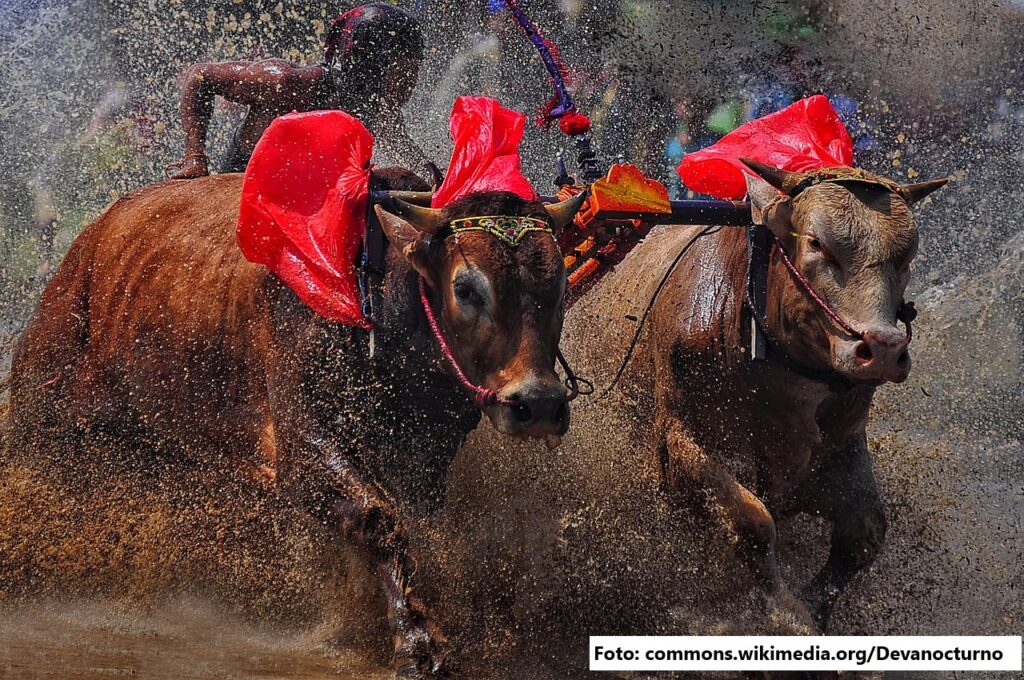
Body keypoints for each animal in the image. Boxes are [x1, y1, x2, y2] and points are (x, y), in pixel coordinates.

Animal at [6, 170, 585, 680]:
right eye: (466, 288)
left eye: (557, 281)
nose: (537, 402)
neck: (371, 296)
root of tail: (80, 255)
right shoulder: (302, 445)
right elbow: (379, 519)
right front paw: (417, 642)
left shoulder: (424, 455)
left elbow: (418, 527)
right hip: (43, 421)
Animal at [598, 161, 946, 630]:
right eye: (816, 243)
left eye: (906, 258)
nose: (884, 349)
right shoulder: (678, 442)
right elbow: (752, 522)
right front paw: (789, 615)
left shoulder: (842, 446)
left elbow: (864, 533)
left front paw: (814, 609)